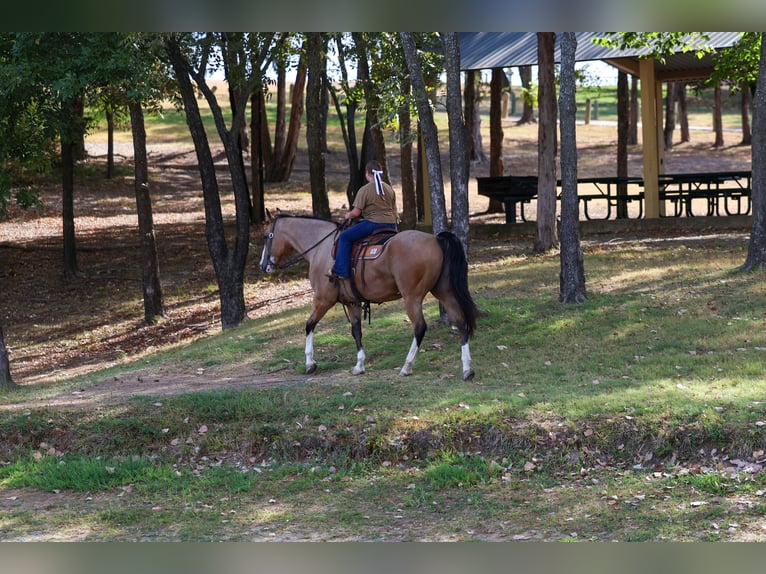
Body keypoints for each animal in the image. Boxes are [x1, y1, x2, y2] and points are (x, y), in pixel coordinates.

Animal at [259, 212, 478, 380]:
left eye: (266, 236)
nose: (263, 266)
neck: (322, 247)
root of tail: (435, 239)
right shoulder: (352, 302)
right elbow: (356, 331)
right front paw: (359, 365)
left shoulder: (323, 299)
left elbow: (309, 325)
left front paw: (310, 363)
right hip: (444, 291)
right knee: (461, 322)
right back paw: (467, 368)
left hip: (412, 297)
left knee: (420, 327)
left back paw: (406, 366)